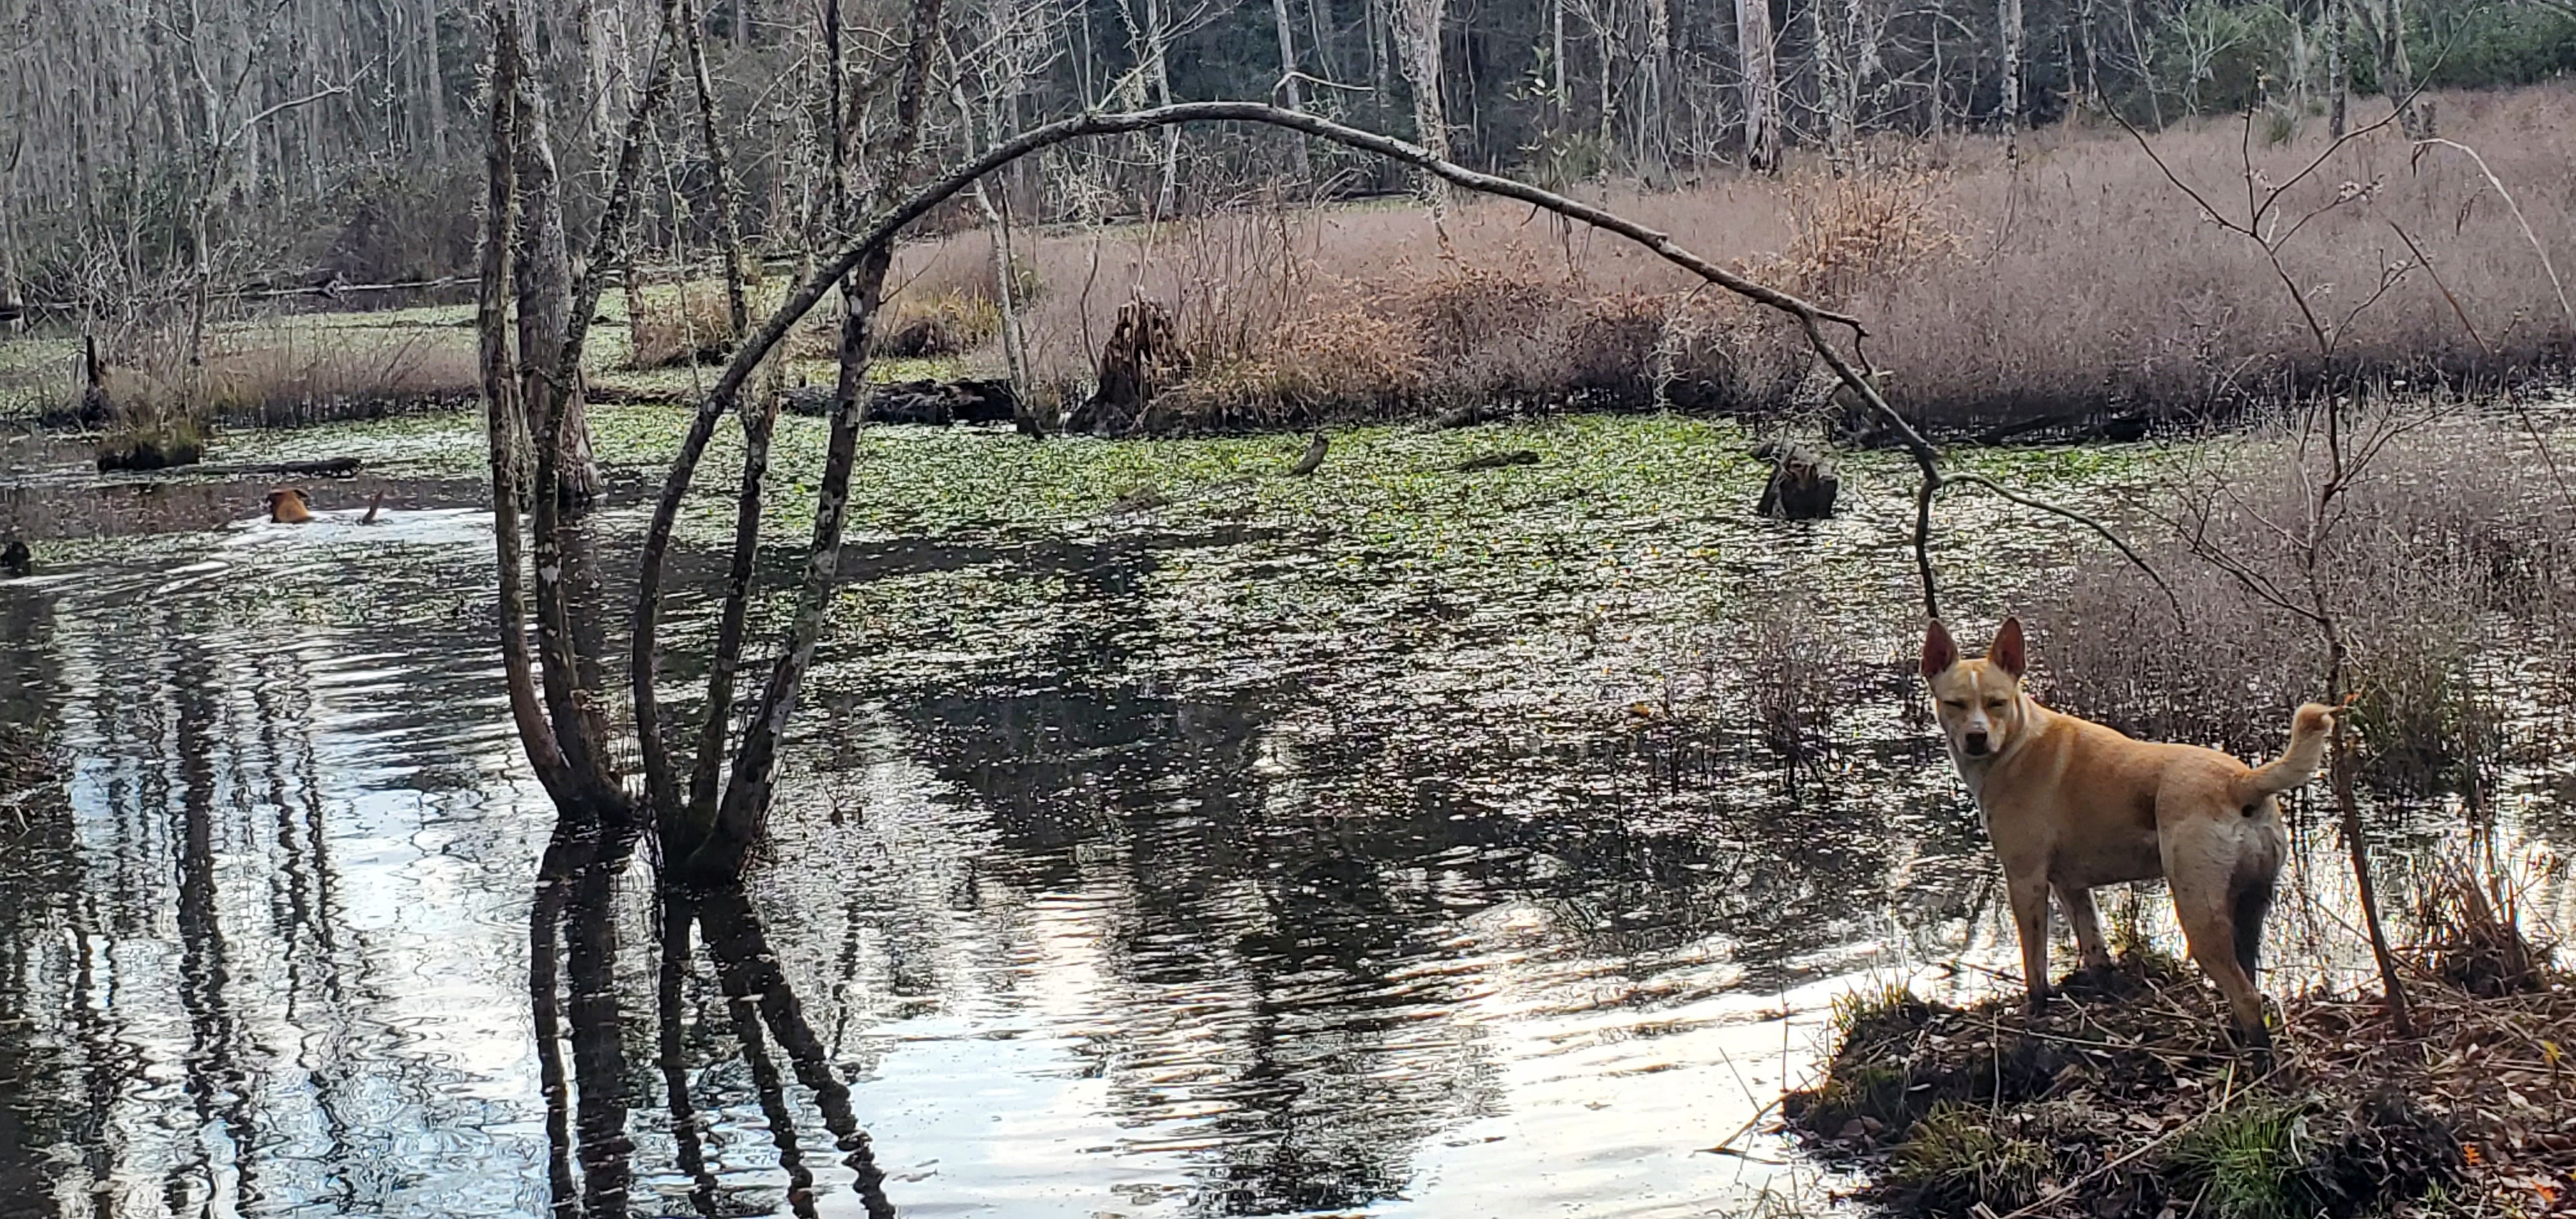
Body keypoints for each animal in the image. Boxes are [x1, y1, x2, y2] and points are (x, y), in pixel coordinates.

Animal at [1926, 618, 2349, 1046]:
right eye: (1955, 704)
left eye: (1996, 702)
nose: (1976, 737)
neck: (2016, 743)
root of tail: (2242, 781)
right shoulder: (2072, 887)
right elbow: (2095, 951)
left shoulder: (2025, 880)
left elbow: (2036, 970)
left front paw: (2037, 1019)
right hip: (2249, 906)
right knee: (2249, 982)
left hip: (2198, 914)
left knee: (2246, 997)